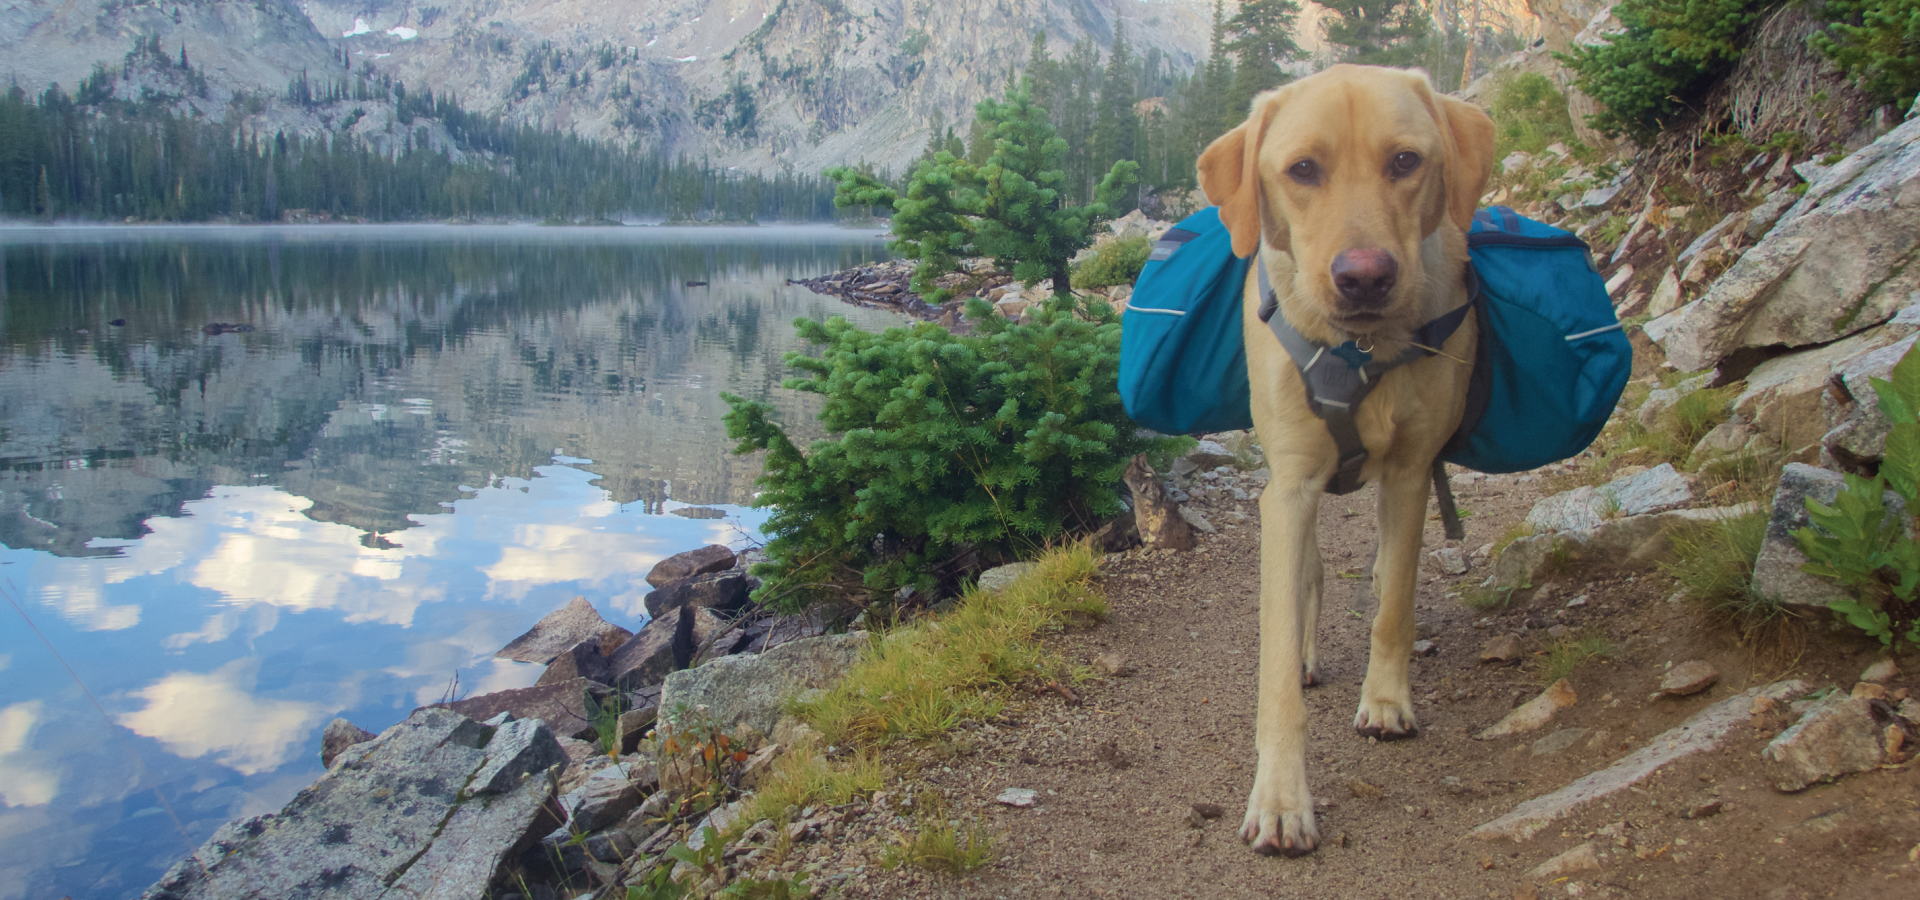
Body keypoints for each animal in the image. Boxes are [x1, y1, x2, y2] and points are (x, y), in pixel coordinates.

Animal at [1198, 64, 1497, 855]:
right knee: (1308, 579)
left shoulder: (1412, 474)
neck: (1358, 349)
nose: (1364, 276)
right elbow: (1274, 663)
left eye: (1406, 161)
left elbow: (1393, 601)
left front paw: (1387, 699)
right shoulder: (1290, 489)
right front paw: (1280, 799)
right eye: (1302, 169)